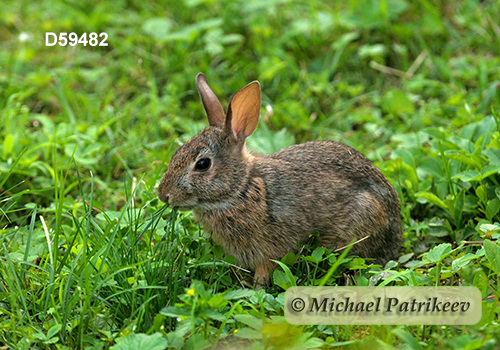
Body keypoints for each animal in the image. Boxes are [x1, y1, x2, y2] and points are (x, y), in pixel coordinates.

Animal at [160, 72, 402, 286]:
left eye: (202, 164)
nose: (164, 195)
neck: (241, 189)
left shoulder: (271, 249)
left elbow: (266, 271)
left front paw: (256, 288)